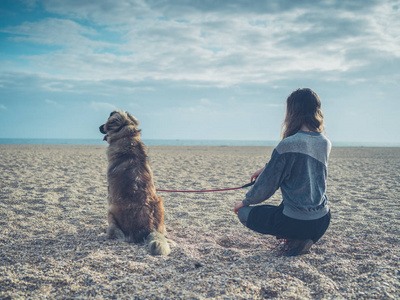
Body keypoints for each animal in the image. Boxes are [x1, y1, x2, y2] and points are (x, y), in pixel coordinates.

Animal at [100, 110, 170, 255]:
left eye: (106, 123)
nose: (99, 127)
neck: (128, 135)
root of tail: (150, 229)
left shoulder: (110, 194)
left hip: (111, 211)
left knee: (115, 233)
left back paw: (105, 235)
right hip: (160, 203)